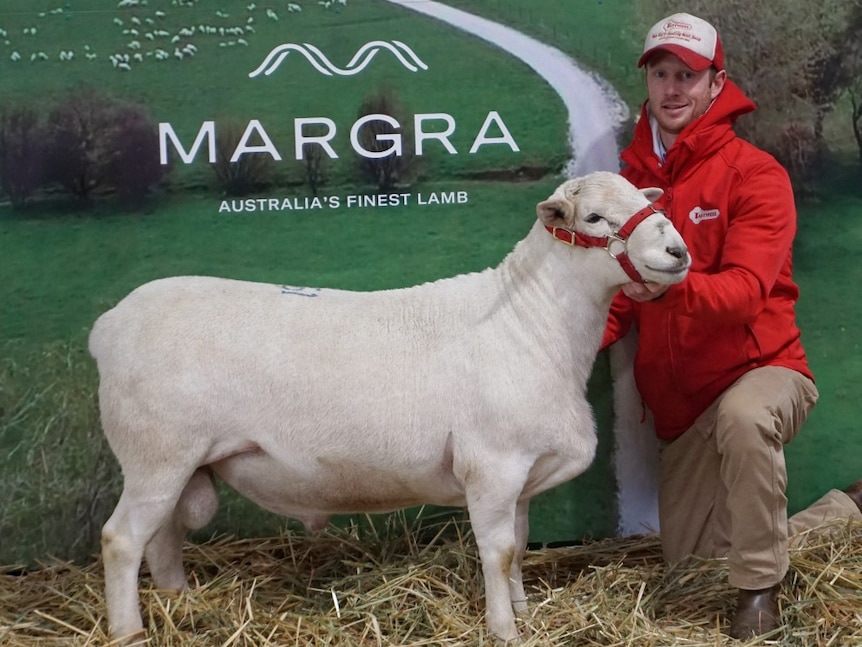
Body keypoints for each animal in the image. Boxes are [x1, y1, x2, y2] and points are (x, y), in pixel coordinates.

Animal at [91, 171, 692, 644]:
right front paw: (504, 630)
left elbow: (519, 549)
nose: (678, 252)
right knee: (121, 540)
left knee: (163, 539)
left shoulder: (520, 474)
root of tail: (108, 326)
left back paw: (180, 604)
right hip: (156, 453)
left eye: (645, 200)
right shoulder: (492, 465)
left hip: (177, 462)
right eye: (594, 217)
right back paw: (129, 632)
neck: (531, 321)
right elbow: (497, 552)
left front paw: (523, 612)